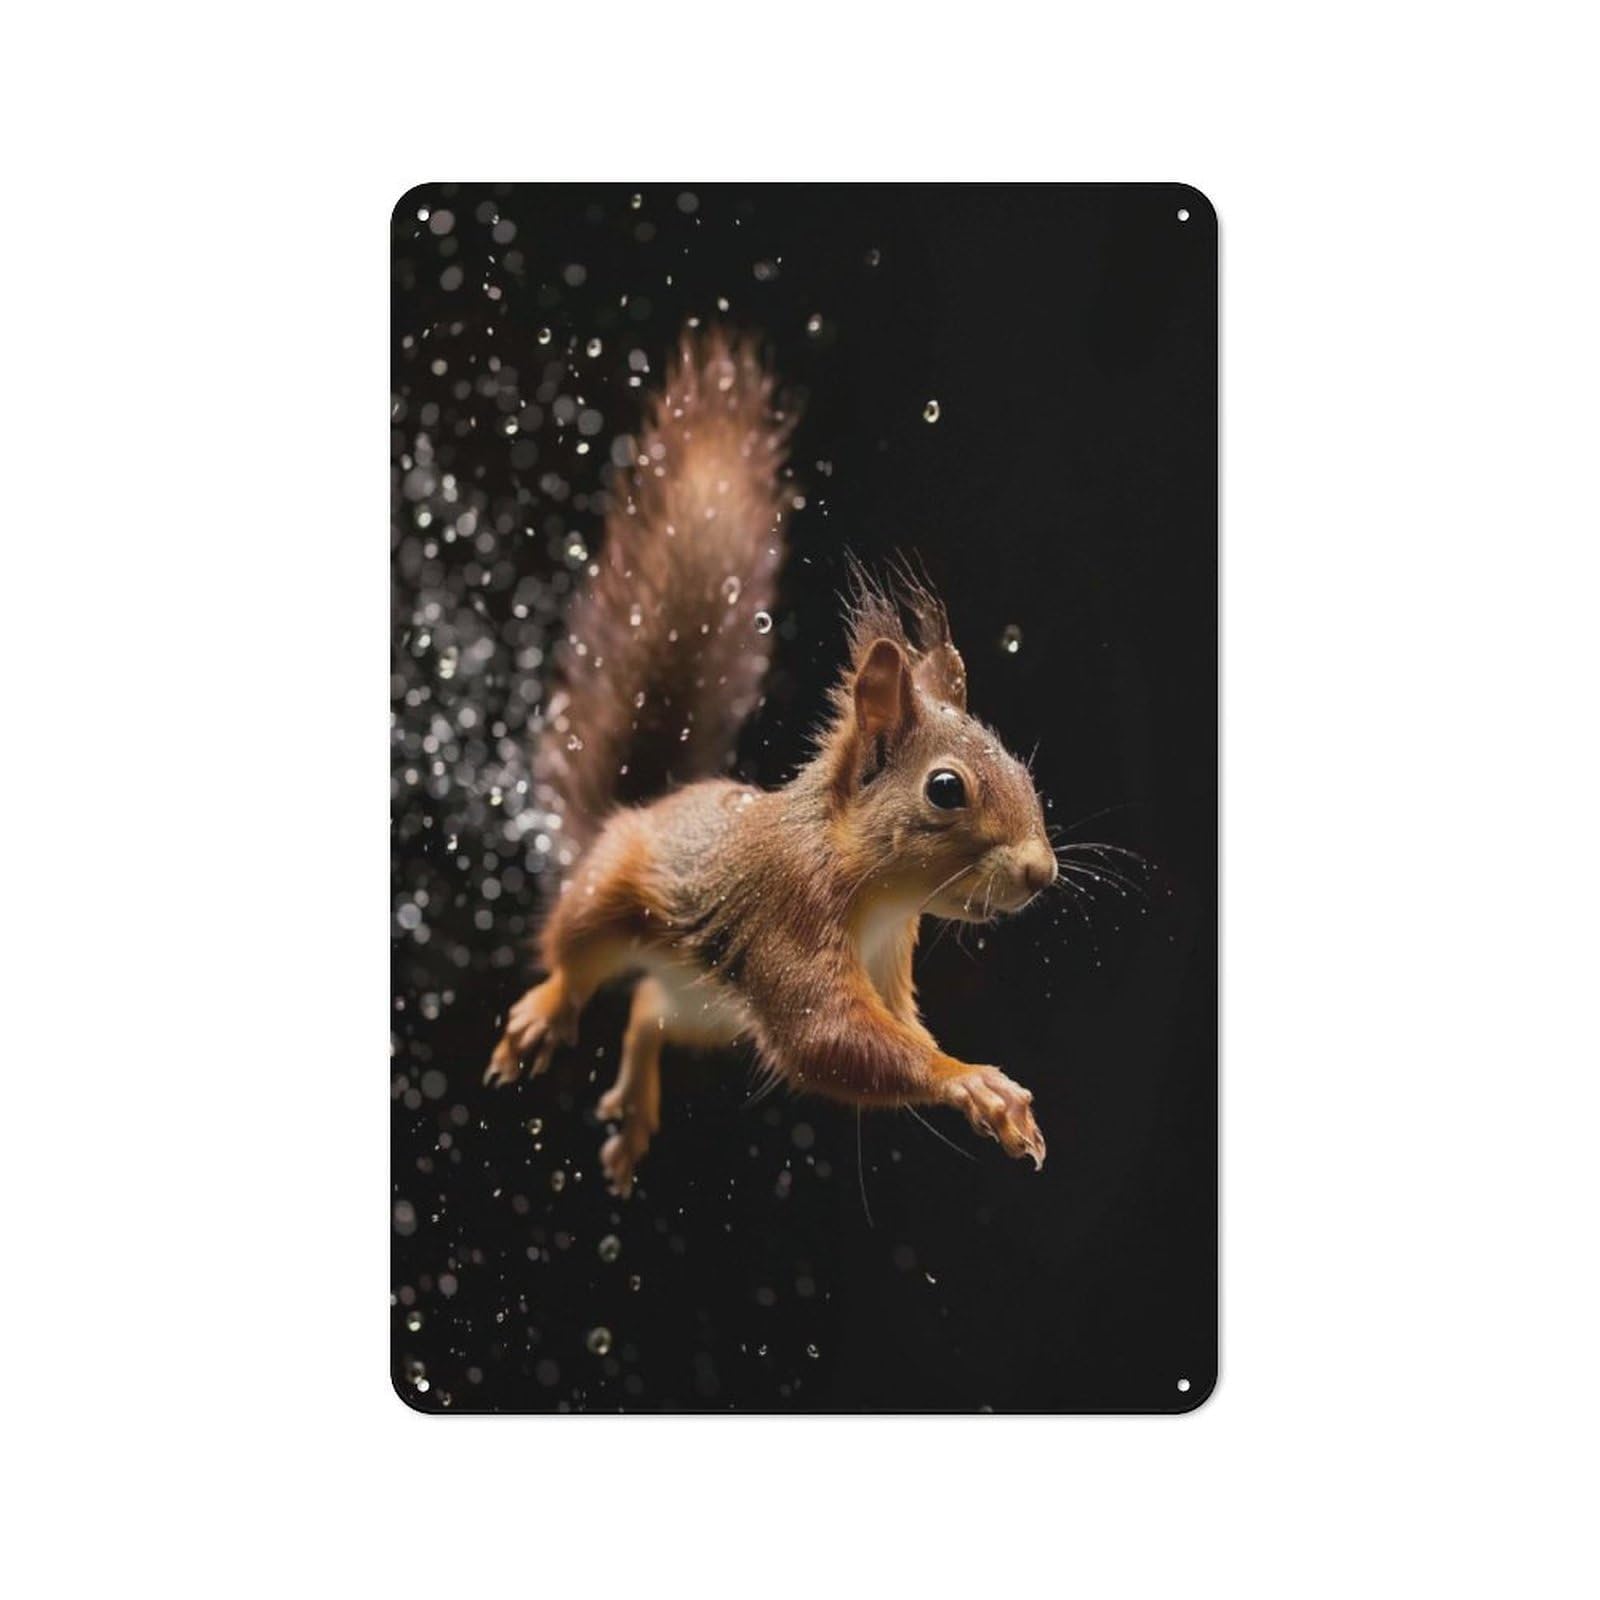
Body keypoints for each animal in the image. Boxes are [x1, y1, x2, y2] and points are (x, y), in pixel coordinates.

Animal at [486, 330, 1059, 1196]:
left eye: (1024, 771)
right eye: (945, 789)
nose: (1041, 873)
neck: (871, 886)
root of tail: (640, 810)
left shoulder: (891, 959)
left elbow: (888, 1029)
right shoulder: (789, 908)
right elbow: (825, 1034)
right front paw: (971, 1081)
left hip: (709, 1010)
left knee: (649, 1008)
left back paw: (635, 1108)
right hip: (606, 897)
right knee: (574, 960)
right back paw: (542, 1016)